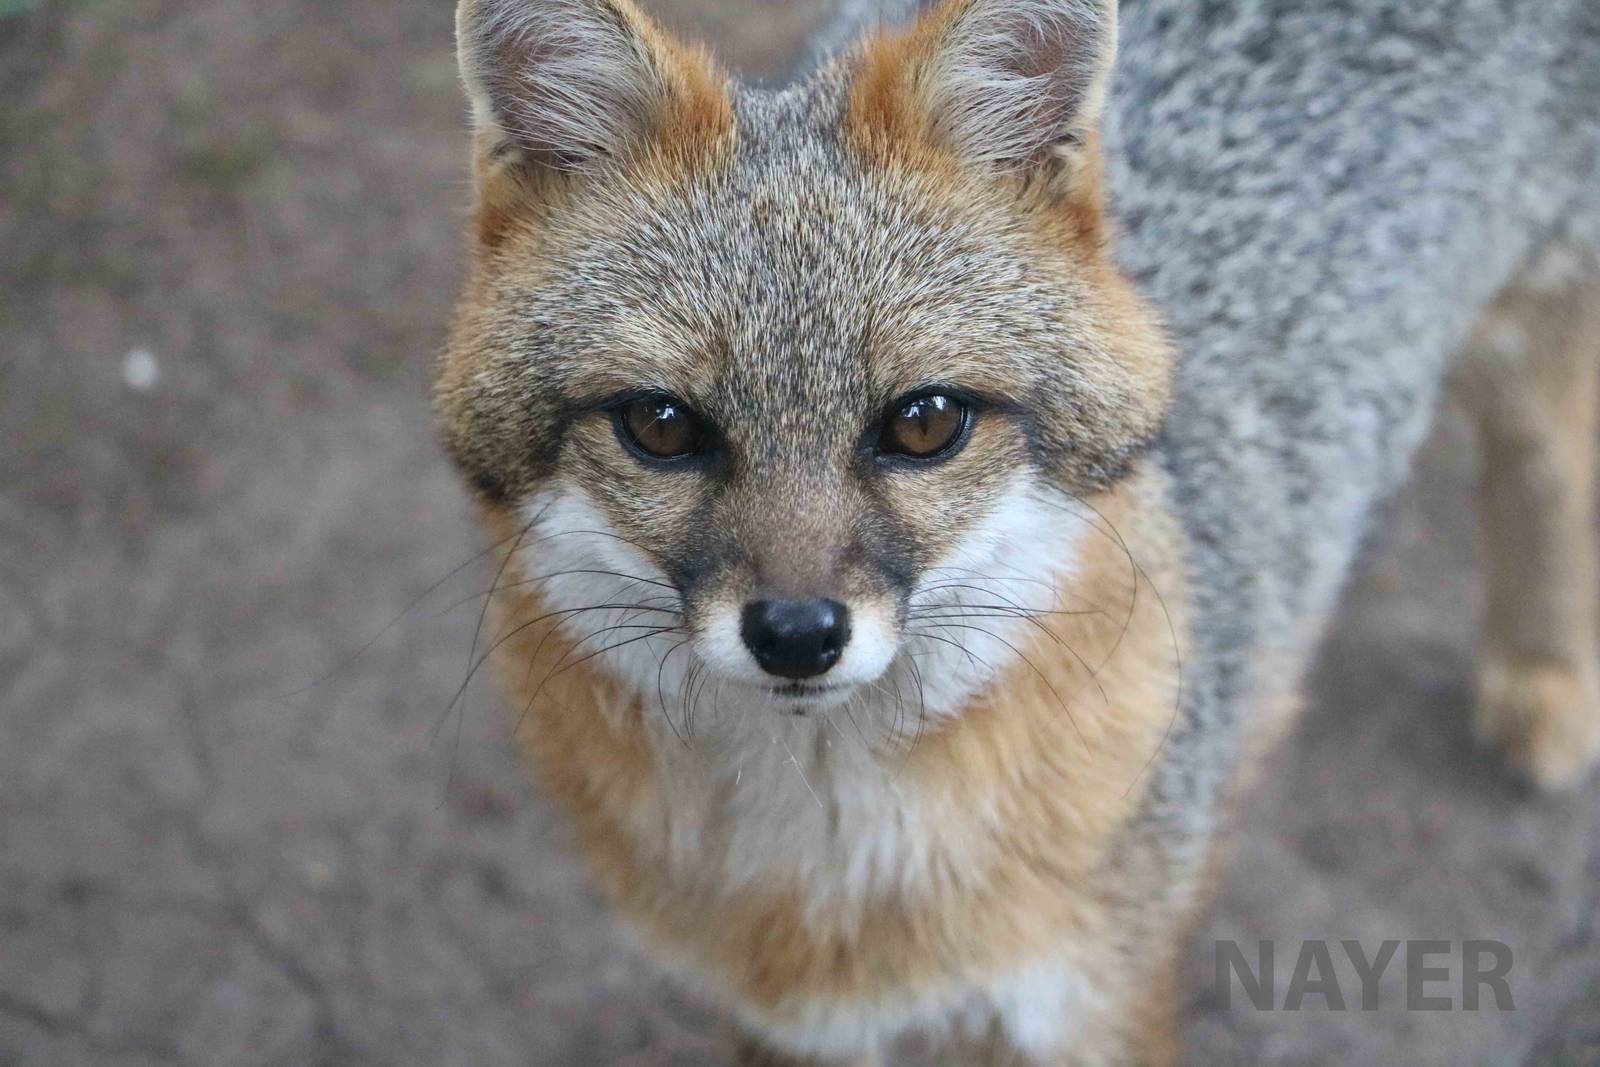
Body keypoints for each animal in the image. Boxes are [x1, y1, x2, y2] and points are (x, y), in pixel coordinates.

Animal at [435, 0, 1600, 1063]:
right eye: (662, 426)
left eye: (923, 422)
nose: (798, 633)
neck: (828, 879)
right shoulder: (787, 1021)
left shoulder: (1093, 1000)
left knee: (1547, 475)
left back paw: (1543, 678)